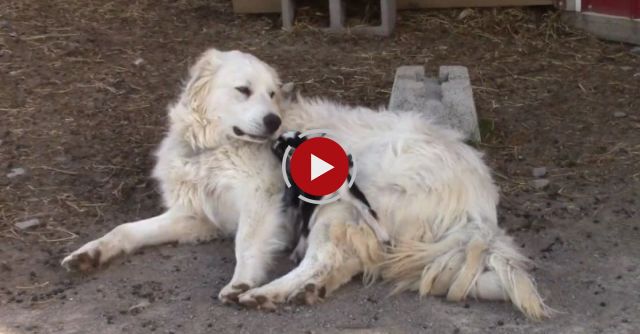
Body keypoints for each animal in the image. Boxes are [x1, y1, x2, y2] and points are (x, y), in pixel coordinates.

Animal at [61, 47, 552, 318]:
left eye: (273, 93)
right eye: (243, 90)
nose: (274, 122)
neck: (212, 147)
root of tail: (480, 201)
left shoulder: (261, 204)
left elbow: (245, 247)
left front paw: (242, 283)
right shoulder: (195, 215)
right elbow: (126, 230)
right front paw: (89, 254)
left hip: (343, 198)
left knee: (325, 257)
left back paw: (268, 294)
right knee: (351, 260)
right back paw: (307, 291)